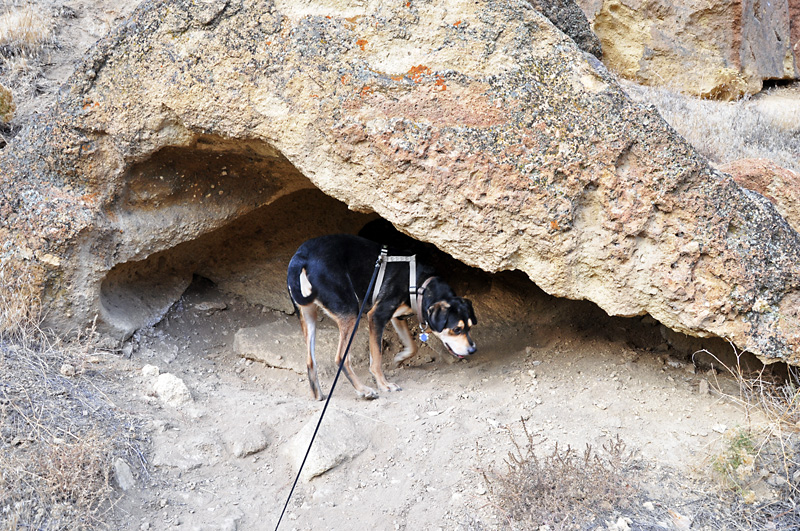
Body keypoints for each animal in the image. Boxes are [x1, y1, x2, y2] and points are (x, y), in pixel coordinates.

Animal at [286, 235, 476, 402]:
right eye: (457, 329)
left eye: (470, 327)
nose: (473, 350)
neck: (420, 285)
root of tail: (301, 258)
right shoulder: (376, 316)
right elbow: (376, 358)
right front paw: (384, 385)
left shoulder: (397, 317)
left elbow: (412, 346)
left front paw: (400, 358)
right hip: (351, 312)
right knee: (341, 358)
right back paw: (363, 390)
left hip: (308, 315)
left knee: (310, 361)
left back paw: (317, 395)